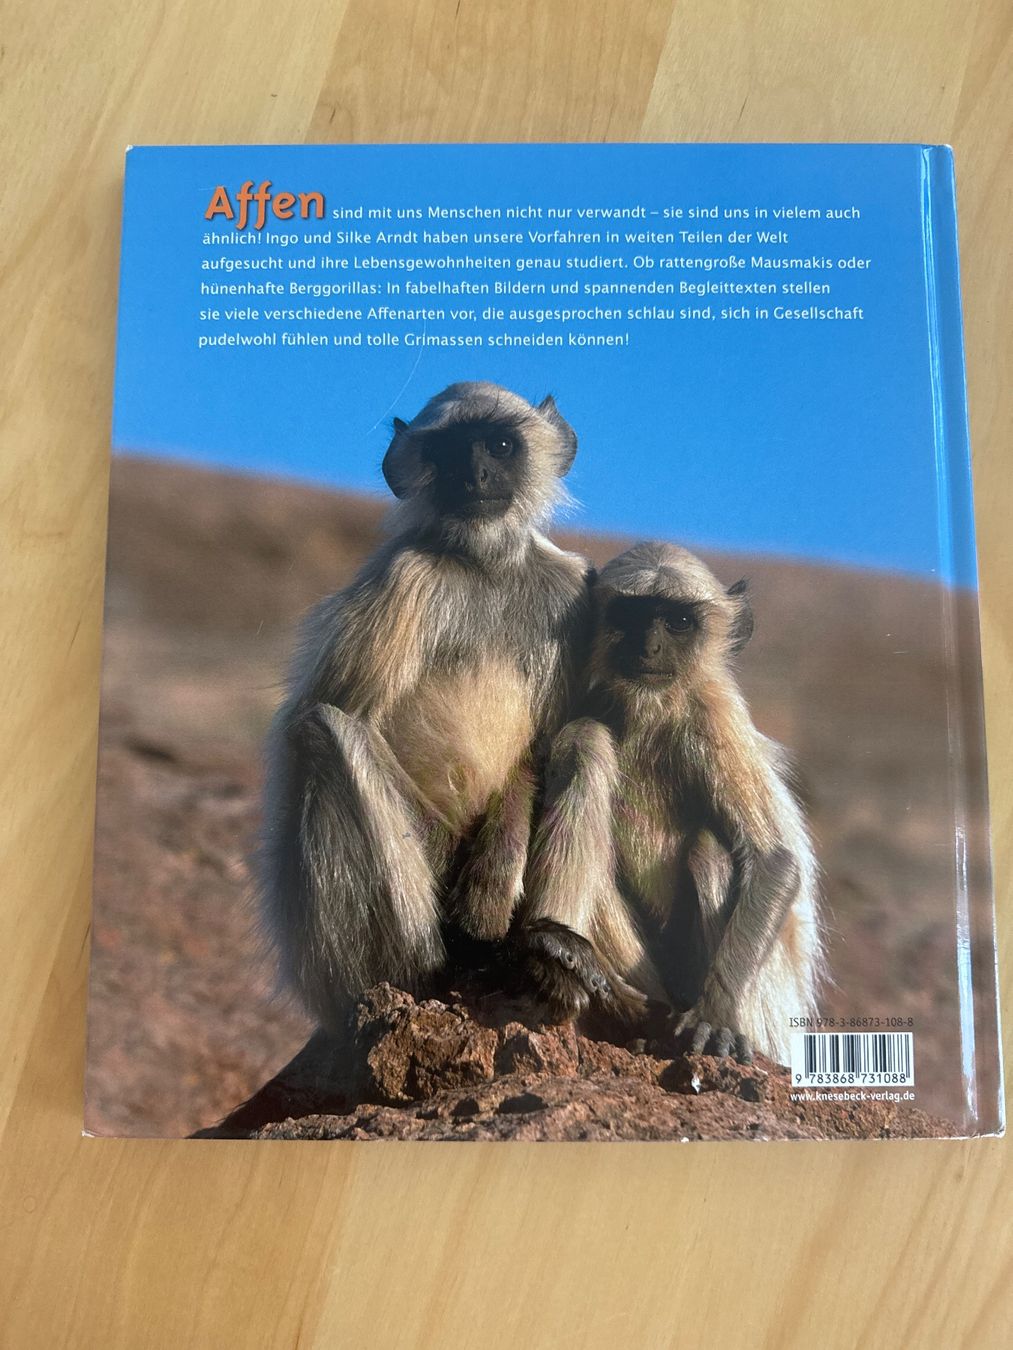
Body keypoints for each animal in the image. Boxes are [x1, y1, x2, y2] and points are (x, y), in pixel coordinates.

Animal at [259, 382, 594, 1032]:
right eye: (449, 450)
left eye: (498, 445)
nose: (475, 474)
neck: (487, 567)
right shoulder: (403, 577)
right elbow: (320, 715)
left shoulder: (569, 592)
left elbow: (544, 746)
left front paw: (494, 879)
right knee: (324, 732)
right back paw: (441, 967)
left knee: (585, 737)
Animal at [517, 541, 824, 1064]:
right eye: (632, 614)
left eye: (678, 621)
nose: (649, 648)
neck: (651, 712)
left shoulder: (715, 714)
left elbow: (773, 861)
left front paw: (715, 1016)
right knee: (585, 741)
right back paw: (598, 981)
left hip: (768, 1013)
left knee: (711, 851)